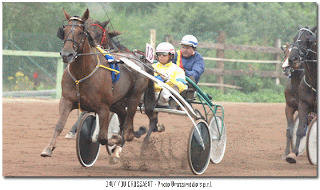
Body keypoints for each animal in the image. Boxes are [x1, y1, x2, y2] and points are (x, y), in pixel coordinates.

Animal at [40, 8, 158, 163]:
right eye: (64, 31)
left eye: (81, 32)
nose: (67, 54)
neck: (82, 74)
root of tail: (140, 62)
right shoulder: (67, 100)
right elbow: (59, 125)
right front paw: (48, 148)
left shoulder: (103, 108)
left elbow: (102, 137)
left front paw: (113, 140)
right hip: (117, 103)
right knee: (124, 119)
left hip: (134, 97)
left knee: (129, 131)